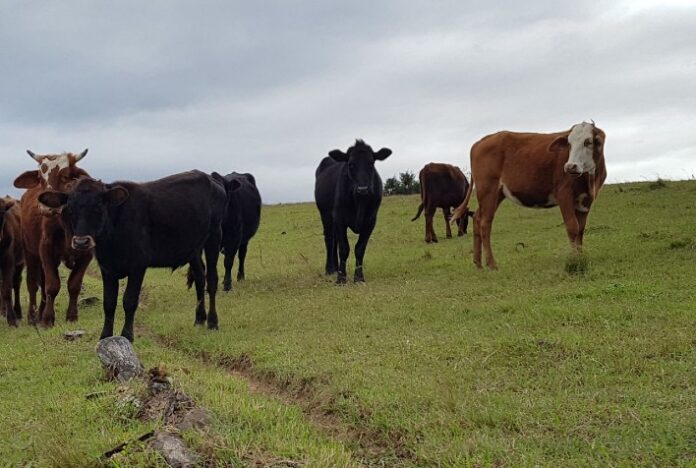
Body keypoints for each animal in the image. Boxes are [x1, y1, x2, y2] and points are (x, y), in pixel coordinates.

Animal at [12, 150, 92, 326]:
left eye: (66, 176)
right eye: (40, 178)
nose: (47, 206)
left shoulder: (87, 254)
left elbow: (74, 284)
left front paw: (72, 316)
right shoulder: (46, 250)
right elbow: (52, 285)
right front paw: (48, 319)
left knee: (41, 284)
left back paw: (40, 313)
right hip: (30, 252)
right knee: (33, 284)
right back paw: (33, 316)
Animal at [38, 170, 227, 342]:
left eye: (99, 207)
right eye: (70, 209)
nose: (81, 242)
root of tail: (210, 179)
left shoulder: (138, 265)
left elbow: (129, 300)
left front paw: (127, 335)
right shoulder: (107, 268)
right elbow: (109, 302)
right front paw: (105, 335)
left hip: (214, 237)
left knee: (212, 280)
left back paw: (213, 322)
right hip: (193, 248)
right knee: (200, 277)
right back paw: (199, 319)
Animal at [316, 139, 392, 284]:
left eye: (371, 163)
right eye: (351, 164)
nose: (363, 189)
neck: (359, 202)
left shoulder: (370, 221)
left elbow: (360, 248)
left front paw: (359, 278)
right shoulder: (339, 218)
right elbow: (344, 248)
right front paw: (341, 279)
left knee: (334, 240)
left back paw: (335, 268)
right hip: (326, 216)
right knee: (329, 239)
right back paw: (330, 269)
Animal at [452, 122, 608, 268]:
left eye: (588, 142)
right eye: (569, 144)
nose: (570, 166)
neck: (589, 179)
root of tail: (482, 141)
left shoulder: (586, 200)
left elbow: (581, 230)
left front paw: (581, 258)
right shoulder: (564, 195)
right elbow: (573, 227)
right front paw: (574, 261)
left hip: (495, 194)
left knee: (477, 217)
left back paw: (478, 263)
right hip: (487, 190)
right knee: (485, 222)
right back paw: (492, 264)